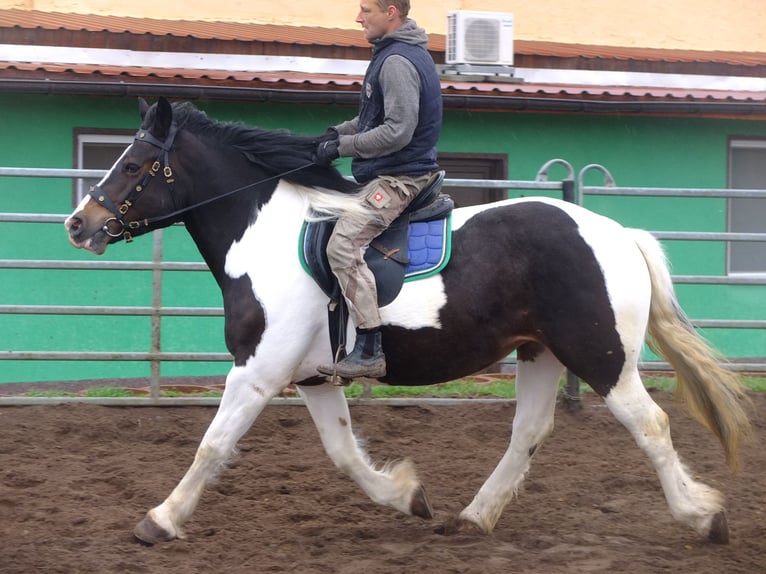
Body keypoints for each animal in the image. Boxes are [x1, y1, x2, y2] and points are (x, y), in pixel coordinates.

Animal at [64, 99, 752, 548]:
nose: (78, 224)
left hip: (601, 356)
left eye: (133, 165)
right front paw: (406, 496)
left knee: (650, 424)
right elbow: (343, 453)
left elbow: (212, 445)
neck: (264, 240)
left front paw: (159, 520)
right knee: (529, 431)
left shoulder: (257, 372)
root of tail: (618, 234)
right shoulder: (313, 378)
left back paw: (703, 518)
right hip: (540, 353)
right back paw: (474, 517)